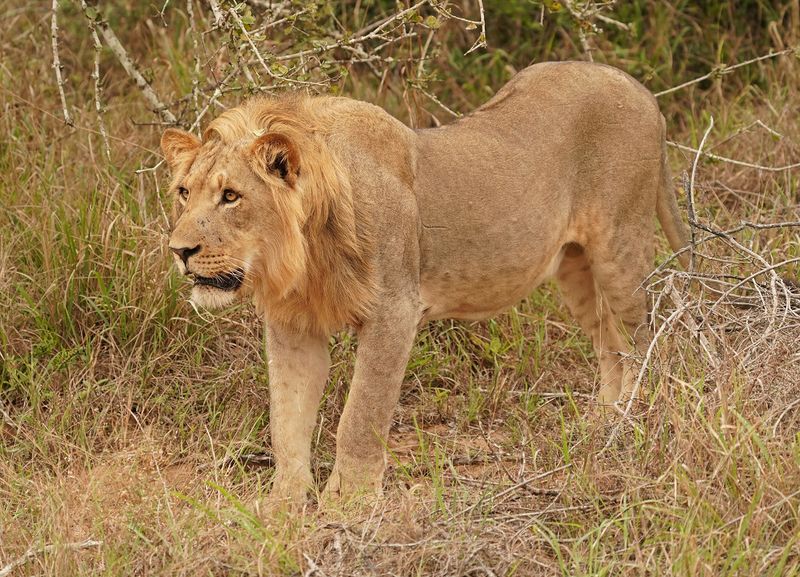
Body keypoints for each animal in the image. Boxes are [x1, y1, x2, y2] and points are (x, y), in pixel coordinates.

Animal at [161, 61, 690, 506]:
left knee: (647, 336)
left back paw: (636, 420)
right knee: (610, 341)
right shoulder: (293, 327)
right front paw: (282, 506)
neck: (303, 254)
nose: (179, 250)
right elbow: (286, 419)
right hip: (574, 266)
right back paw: (604, 421)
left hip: (620, 247)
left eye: (231, 196)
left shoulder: (394, 311)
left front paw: (348, 505)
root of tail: (638, 87)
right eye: (184, 192)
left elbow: (360, 415)